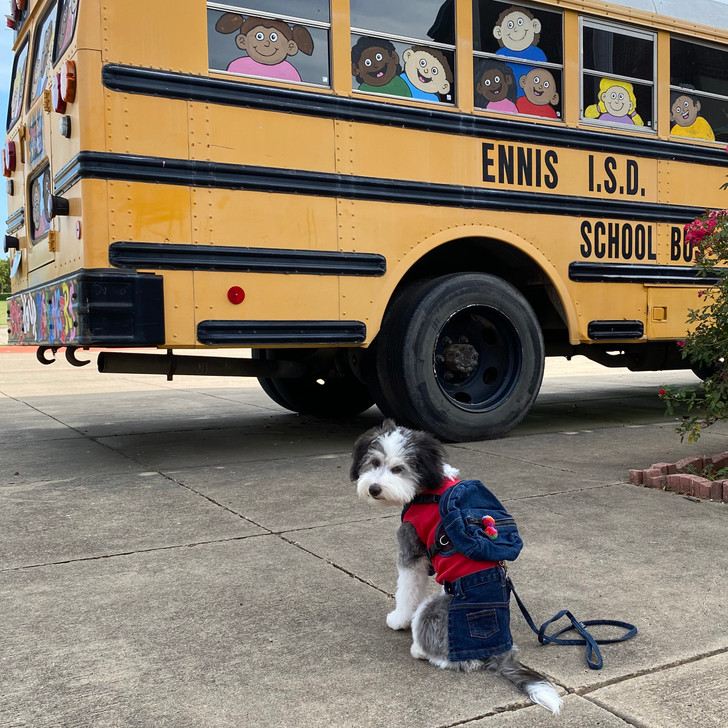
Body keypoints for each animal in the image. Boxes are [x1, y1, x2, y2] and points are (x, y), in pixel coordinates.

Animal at [352, 418, 564, 712]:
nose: (373, 489)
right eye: (374, 462)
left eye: (398, 469)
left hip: (434, 610)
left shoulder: (411, 553)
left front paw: (398, 619)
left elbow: (406, 591)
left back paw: (420, 650)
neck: (428, 488)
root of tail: (500, 651)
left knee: (460, 660)